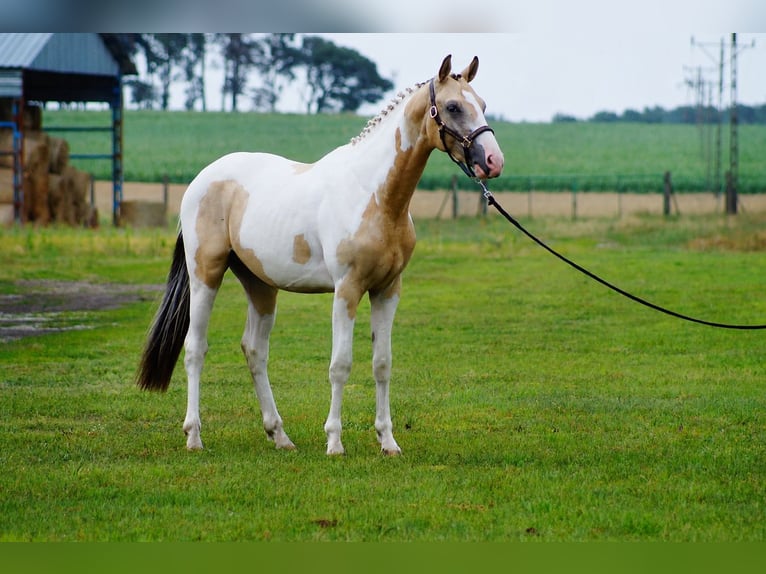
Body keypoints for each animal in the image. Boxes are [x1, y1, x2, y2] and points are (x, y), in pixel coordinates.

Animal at [136, 54, 504, 455]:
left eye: (483, 104)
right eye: (453, 107)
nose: (492, 161)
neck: (374, 195)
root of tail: (201, 179)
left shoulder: (388, 290)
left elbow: (382, 363)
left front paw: (388, 441)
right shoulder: (347, 289)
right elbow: (340, 365)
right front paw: (335, 442)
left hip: (260, 284)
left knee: (254, 350)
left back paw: (280, 435)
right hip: (206, 273)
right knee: (195, 348)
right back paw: (194, 436)